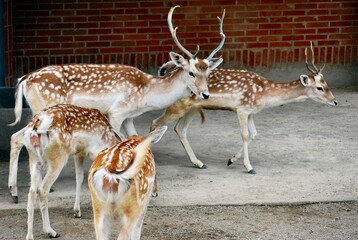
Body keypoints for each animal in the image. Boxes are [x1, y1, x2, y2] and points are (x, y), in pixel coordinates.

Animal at [7, 4, 227, 202]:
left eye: (208, 72)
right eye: (191, 72)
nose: (205, 94)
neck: (146, 92)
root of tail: (24, 79)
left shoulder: (129, 117)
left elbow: (139, 141)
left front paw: (197, 163)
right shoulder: (117, 112)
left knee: (16, 136)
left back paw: (15, 191)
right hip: (42, 107)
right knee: (20, 137)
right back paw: (21, 190)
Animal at [22, 104, 126, 239]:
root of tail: (36, 126)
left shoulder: (78, 153)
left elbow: (79, 177)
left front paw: (77, 211)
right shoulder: (94, 153)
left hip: (34, 159)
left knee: (32, 191)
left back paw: (30, 235)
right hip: (58, 157)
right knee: (42, 189)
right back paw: (51, 231)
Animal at [152, 42, 338, 174]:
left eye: (327, 84)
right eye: (319, 88)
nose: (335, 101)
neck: (264, 93)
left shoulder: (251, 112)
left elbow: (254, 134)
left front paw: (231, 160)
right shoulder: (241, 109)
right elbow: (245, 135)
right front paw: (249, 167)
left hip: (192, 108)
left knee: (180, 129)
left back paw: (199, 163)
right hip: (177, 104)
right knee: (156, 122)